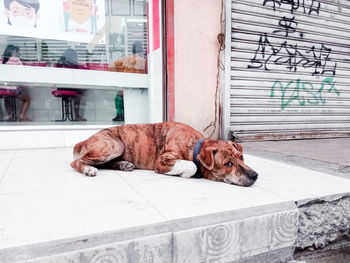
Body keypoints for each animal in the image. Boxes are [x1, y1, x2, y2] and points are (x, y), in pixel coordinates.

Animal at [70, 122, 258, 187]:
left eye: (241, 157)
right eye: (228, 164)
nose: (255, 175)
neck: (195, 146)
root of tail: (86, 139)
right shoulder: (162, 161)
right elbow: (190, 165)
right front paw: (187, 173)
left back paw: (123, 165)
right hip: (114, 144)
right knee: (77, 162)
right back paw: (88, 169)